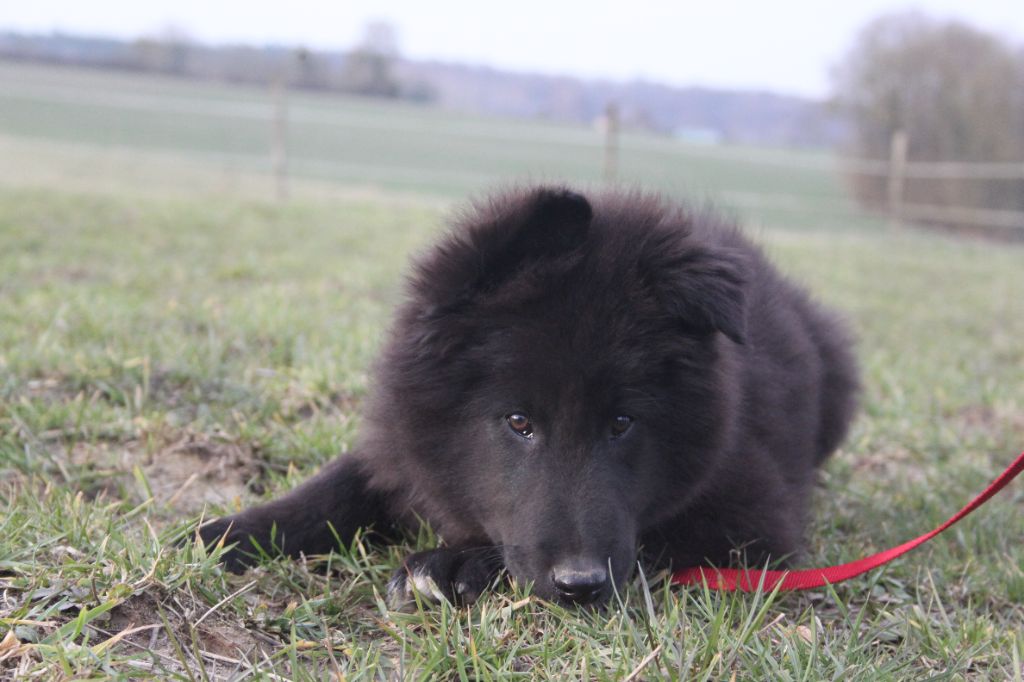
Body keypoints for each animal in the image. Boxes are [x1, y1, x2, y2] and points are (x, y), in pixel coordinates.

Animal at [197, 186, 856, 606]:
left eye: (622, 422)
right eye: (518, 421)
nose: (580, 585)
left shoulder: (754, 519)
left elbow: (655, 534)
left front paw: (456, 563)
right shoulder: (402, 443)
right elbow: (336, 486)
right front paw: (226, 534)